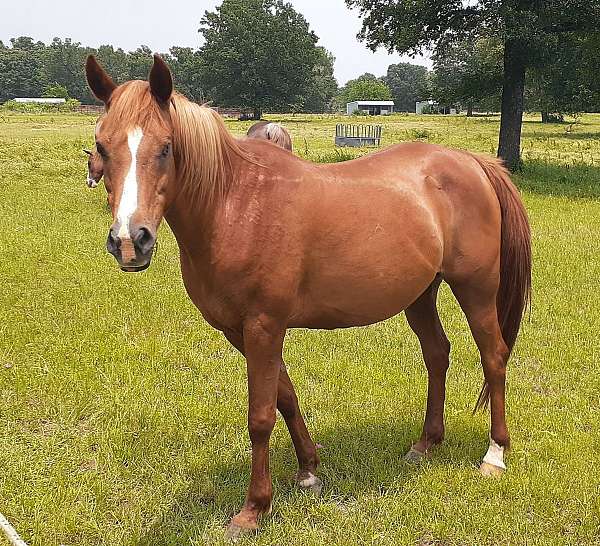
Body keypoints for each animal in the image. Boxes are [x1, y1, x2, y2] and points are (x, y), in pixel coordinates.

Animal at [84, 53, 528, 536]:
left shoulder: (264, 326)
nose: (130, 241)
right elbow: (285, 396)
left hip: (476, 289)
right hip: (420, 294)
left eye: (165, 148)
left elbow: (260, 416)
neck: (235, 204)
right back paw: (426, 443)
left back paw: (495, 454)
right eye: (102, 148)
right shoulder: (240, 331)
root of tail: (473, 163)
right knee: (437, 354)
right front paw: (308, 470)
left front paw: (254, 508)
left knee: (494, 357)